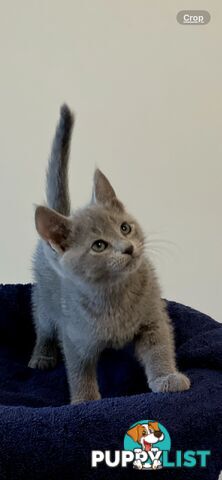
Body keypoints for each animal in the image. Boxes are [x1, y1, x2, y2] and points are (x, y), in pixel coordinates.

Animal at [28, 104, 190, 402]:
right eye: (99, 245)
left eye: (125, 228)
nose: (128, 248)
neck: (115, 293)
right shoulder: (76, 337)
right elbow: (79, 372)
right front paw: (85, 401)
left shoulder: (153, 316)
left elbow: (159, 346)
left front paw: (166, 377)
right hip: (44, 300)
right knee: (43, 326)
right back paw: (42, 356)